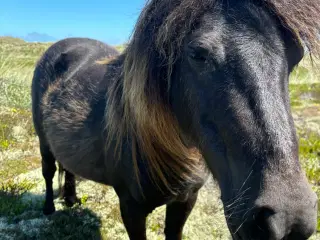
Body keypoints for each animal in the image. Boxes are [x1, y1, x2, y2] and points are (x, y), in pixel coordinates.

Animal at [31, 0, 318, 240]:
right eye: (198, 54)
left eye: (297, 55)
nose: (289, 220)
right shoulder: (131, 208)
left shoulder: (185, 200)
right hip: (43, 141)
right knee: (49, 171)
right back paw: (48, 209)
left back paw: (70, 199)